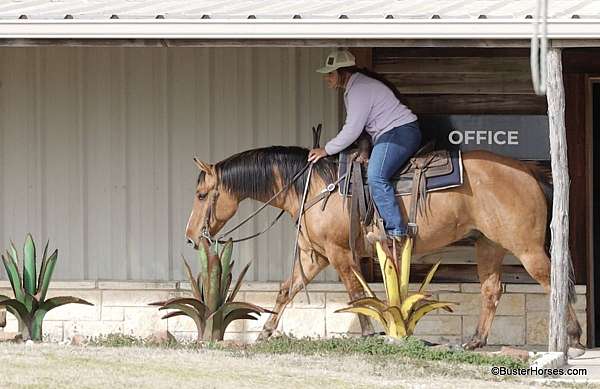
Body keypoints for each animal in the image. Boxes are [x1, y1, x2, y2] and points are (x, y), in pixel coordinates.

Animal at [185, 146, 584, 352]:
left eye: (202, 195)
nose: (191, 237)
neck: (314, 188)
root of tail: (529, 172)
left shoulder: (339, 254)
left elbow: (355, 293)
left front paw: (366, 333)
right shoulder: (313, 257)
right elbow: (286, 291)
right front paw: (265, 333)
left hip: (526, 247)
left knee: (554, 283)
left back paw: (573, 339)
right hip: (489, 245)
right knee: (491, 289)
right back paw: (475, 341)